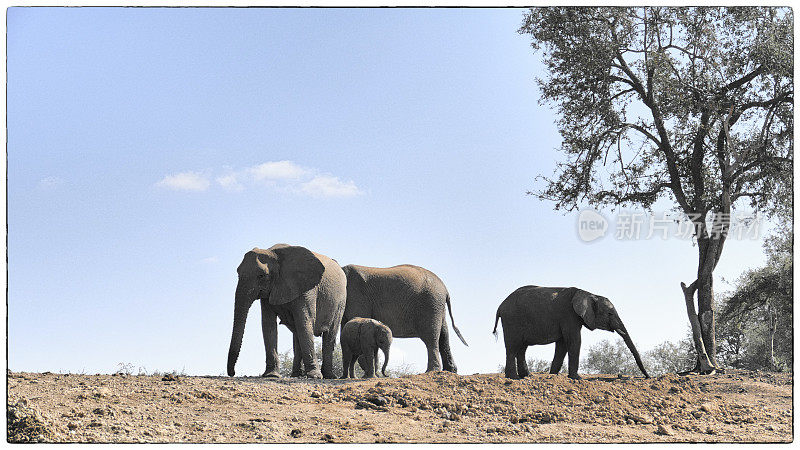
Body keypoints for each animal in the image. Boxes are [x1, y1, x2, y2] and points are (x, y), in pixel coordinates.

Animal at [228, 244, 346, 378]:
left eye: (261, 275)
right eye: (238, 273)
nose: (232, 373)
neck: (273, 254)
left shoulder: (305, 288)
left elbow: (304, 322)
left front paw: (314, 376)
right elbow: (268, 325)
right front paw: (271, 375)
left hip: (340, 302)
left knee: (329, 335)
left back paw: (328, 376)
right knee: (297, 333)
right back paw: (296, 375)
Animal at [494, 284, 648, 380]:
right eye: (610, 314)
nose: (648, 377)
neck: (589, 294)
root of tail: (500, 306)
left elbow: (562, 344)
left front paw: (553, 376)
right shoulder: (569, 315)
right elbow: (574, 341)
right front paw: (577, 378)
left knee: (522, 348)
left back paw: (526, 376)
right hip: (512, 320)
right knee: (512, 346)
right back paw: (513, 378)